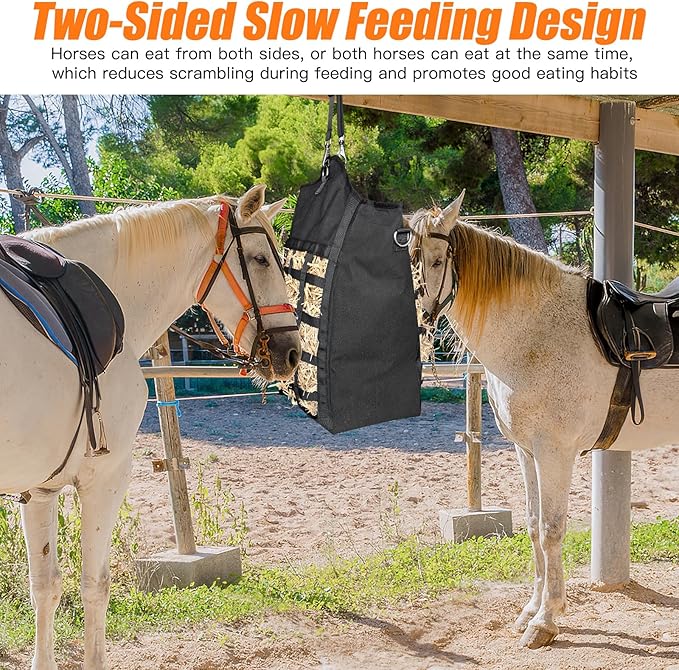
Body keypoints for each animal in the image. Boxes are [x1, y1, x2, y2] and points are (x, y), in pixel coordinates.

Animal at [0, 184, 300, 670]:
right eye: (259, 260)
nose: (290, 351)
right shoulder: (105, 476)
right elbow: (94, 584)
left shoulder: (40, 488)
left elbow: (45, 586)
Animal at [407, 193, 679, 649]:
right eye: (408, 256)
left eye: (438, 258)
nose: (417, 320)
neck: (535, 332)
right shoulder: (526, 450)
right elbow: (534, 527)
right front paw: (530, 611)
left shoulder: (555, 453)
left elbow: (552, 530)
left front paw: (546, 621)